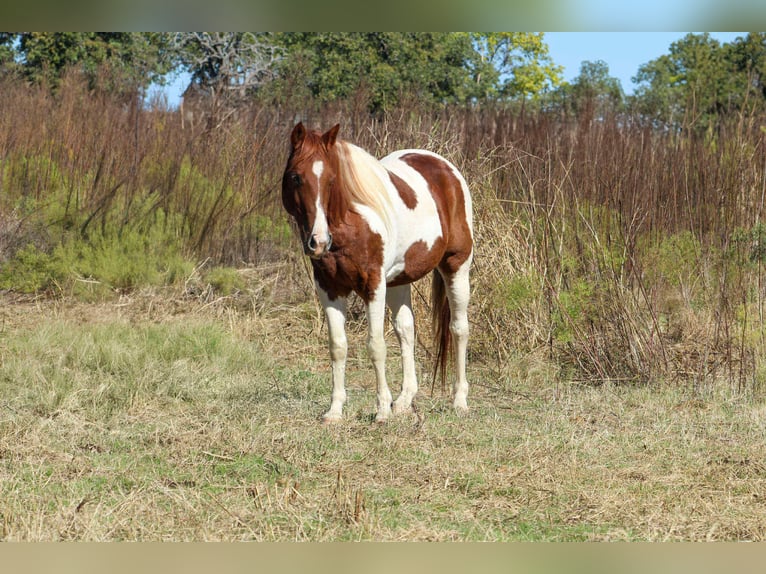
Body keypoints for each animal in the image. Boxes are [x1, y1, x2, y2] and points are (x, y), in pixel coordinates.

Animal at [281, 123, 473, 423]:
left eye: (332, 180)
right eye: (295, 177)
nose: (319, 242)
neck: (352, 223)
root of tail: (446, 168)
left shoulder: (373, 286)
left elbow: (376, 346)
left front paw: (382, 410)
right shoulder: (329, 288)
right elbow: (338, 346)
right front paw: (335, 410)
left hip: (457, 266)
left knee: (459, 329)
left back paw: (459, 400)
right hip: (398, 281)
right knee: (406, 330)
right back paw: (404, 400)